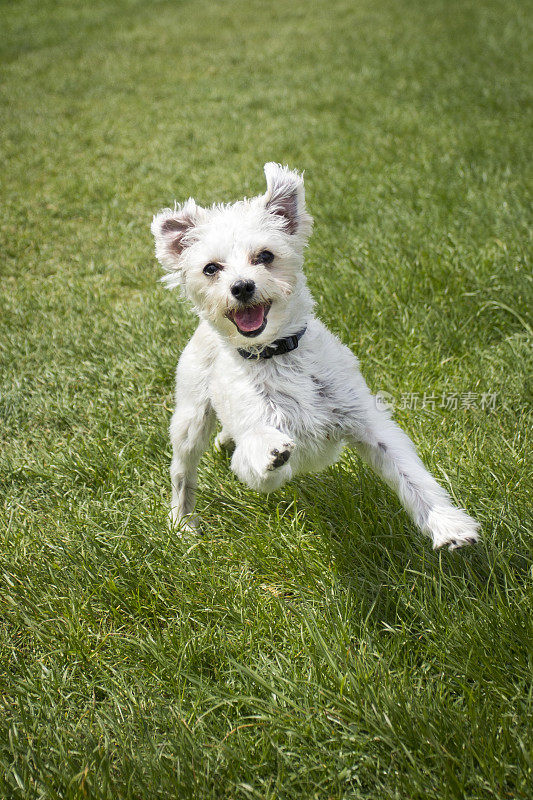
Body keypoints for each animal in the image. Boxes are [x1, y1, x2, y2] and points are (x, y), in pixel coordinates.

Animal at [150, 162, 478, 552]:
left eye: (265, 256)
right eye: (211, 269)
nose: (242, 286)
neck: (276, 353)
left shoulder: (369, 424)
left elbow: (411, 476)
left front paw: (448, 524)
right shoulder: (260, 461)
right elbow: (257, 450)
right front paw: (268, 448)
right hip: (191, 417)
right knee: (182, 472)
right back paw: (182, 523)